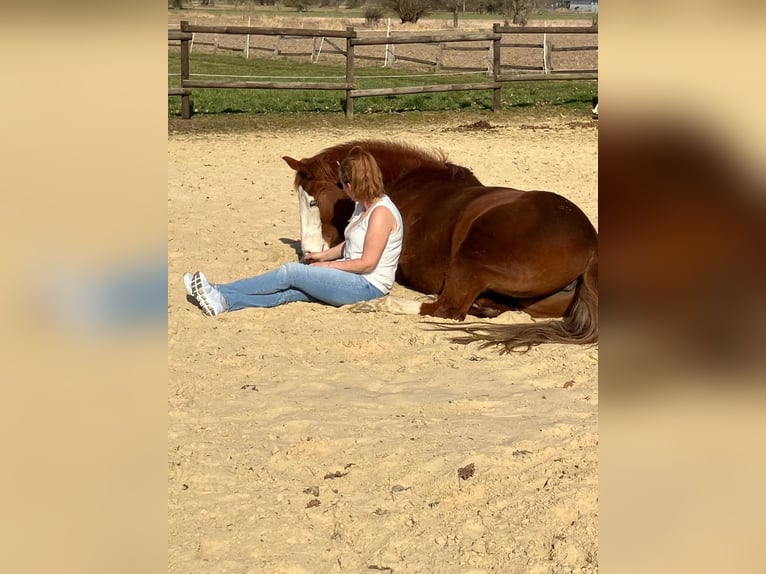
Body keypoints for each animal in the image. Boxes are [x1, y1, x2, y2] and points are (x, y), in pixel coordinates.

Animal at [282, 140, 598, 352]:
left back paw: (378, 304)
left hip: (473, 257)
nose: (308, 255)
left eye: (313, 201)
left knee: (447, 308)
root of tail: (591, 245)